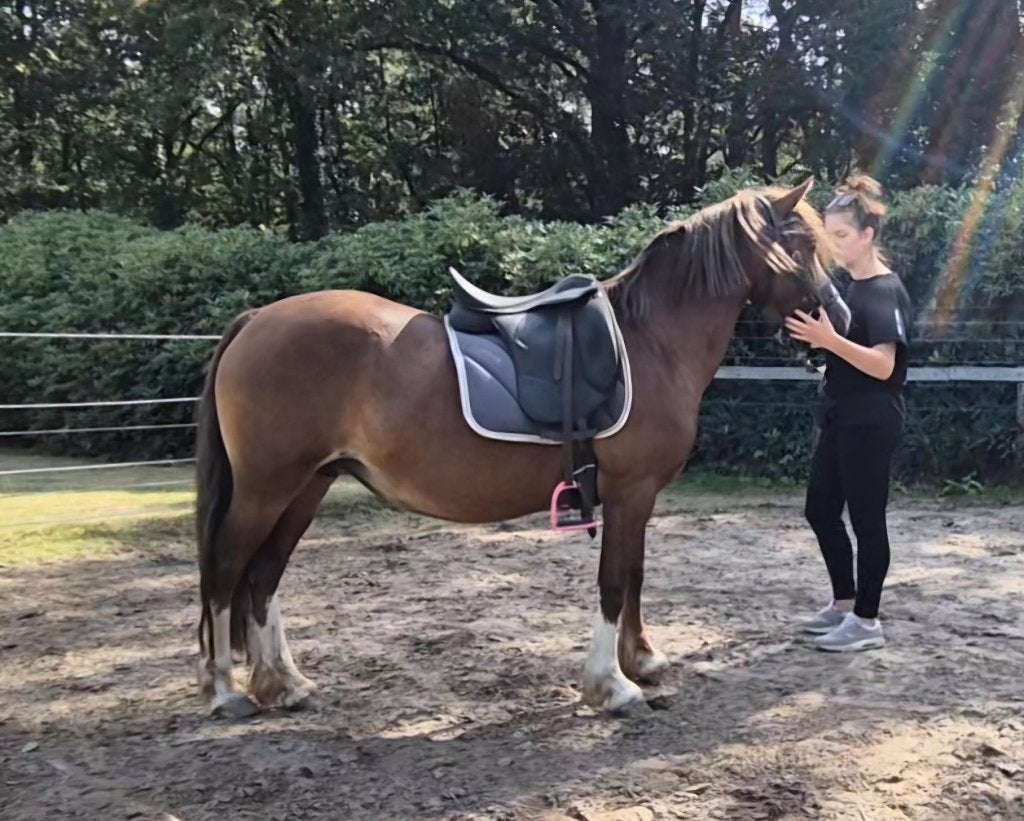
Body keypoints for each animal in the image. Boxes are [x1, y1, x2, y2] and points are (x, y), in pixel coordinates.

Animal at [195, 179, 838, 718]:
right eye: (803, 244)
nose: (835, 317)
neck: (649, 342)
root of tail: (255, 319)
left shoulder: (639, 497)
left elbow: (633, 574)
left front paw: (641, 661)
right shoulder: (628, 491)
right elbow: (613, 582)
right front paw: (612, 686)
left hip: (308, 485)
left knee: (264, 576)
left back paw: (284, 684)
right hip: (266, 488)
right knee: (227, 569)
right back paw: (227, 691)